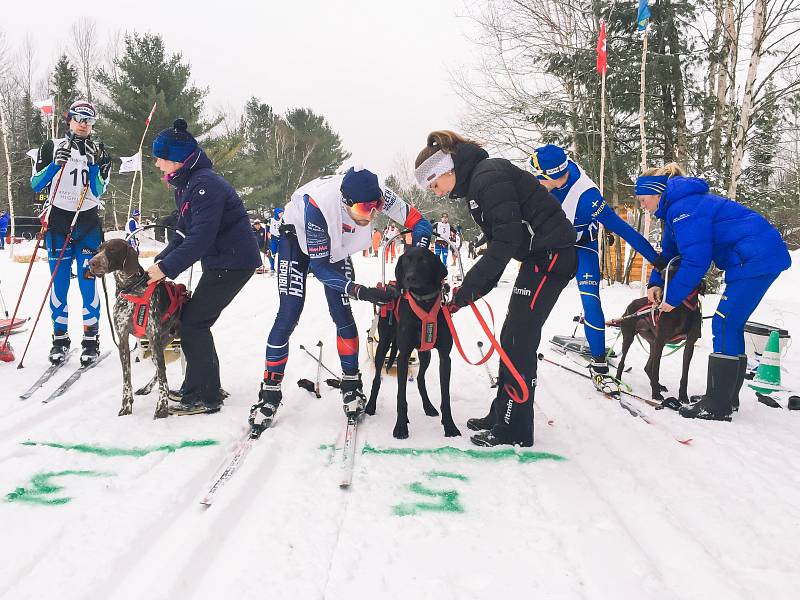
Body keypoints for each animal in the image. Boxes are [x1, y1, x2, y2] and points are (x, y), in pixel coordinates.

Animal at [88, 238, 184, 418]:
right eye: (98, 249)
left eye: (113, 249)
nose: (91, 263)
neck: (131, 288)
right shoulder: (123, 341)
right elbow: (127, 379)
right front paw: (126, 406)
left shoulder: (153, 337)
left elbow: (163, 378)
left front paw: (162, 408)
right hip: (157, 347)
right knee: (160, 369)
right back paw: (147, 388)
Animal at [364, 246, 460, 438]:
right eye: (405, 260)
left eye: (424, 260)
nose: (409, 278)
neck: (424, 303)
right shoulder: (403, 356)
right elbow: (401, 396)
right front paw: (401, 426)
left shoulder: (445, 358)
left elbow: (445, 397)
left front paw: (449, 426)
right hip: (383, 347)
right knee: (377, 378)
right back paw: (371, 405)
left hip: (425, 354)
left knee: (421, 378)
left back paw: (428, 406)